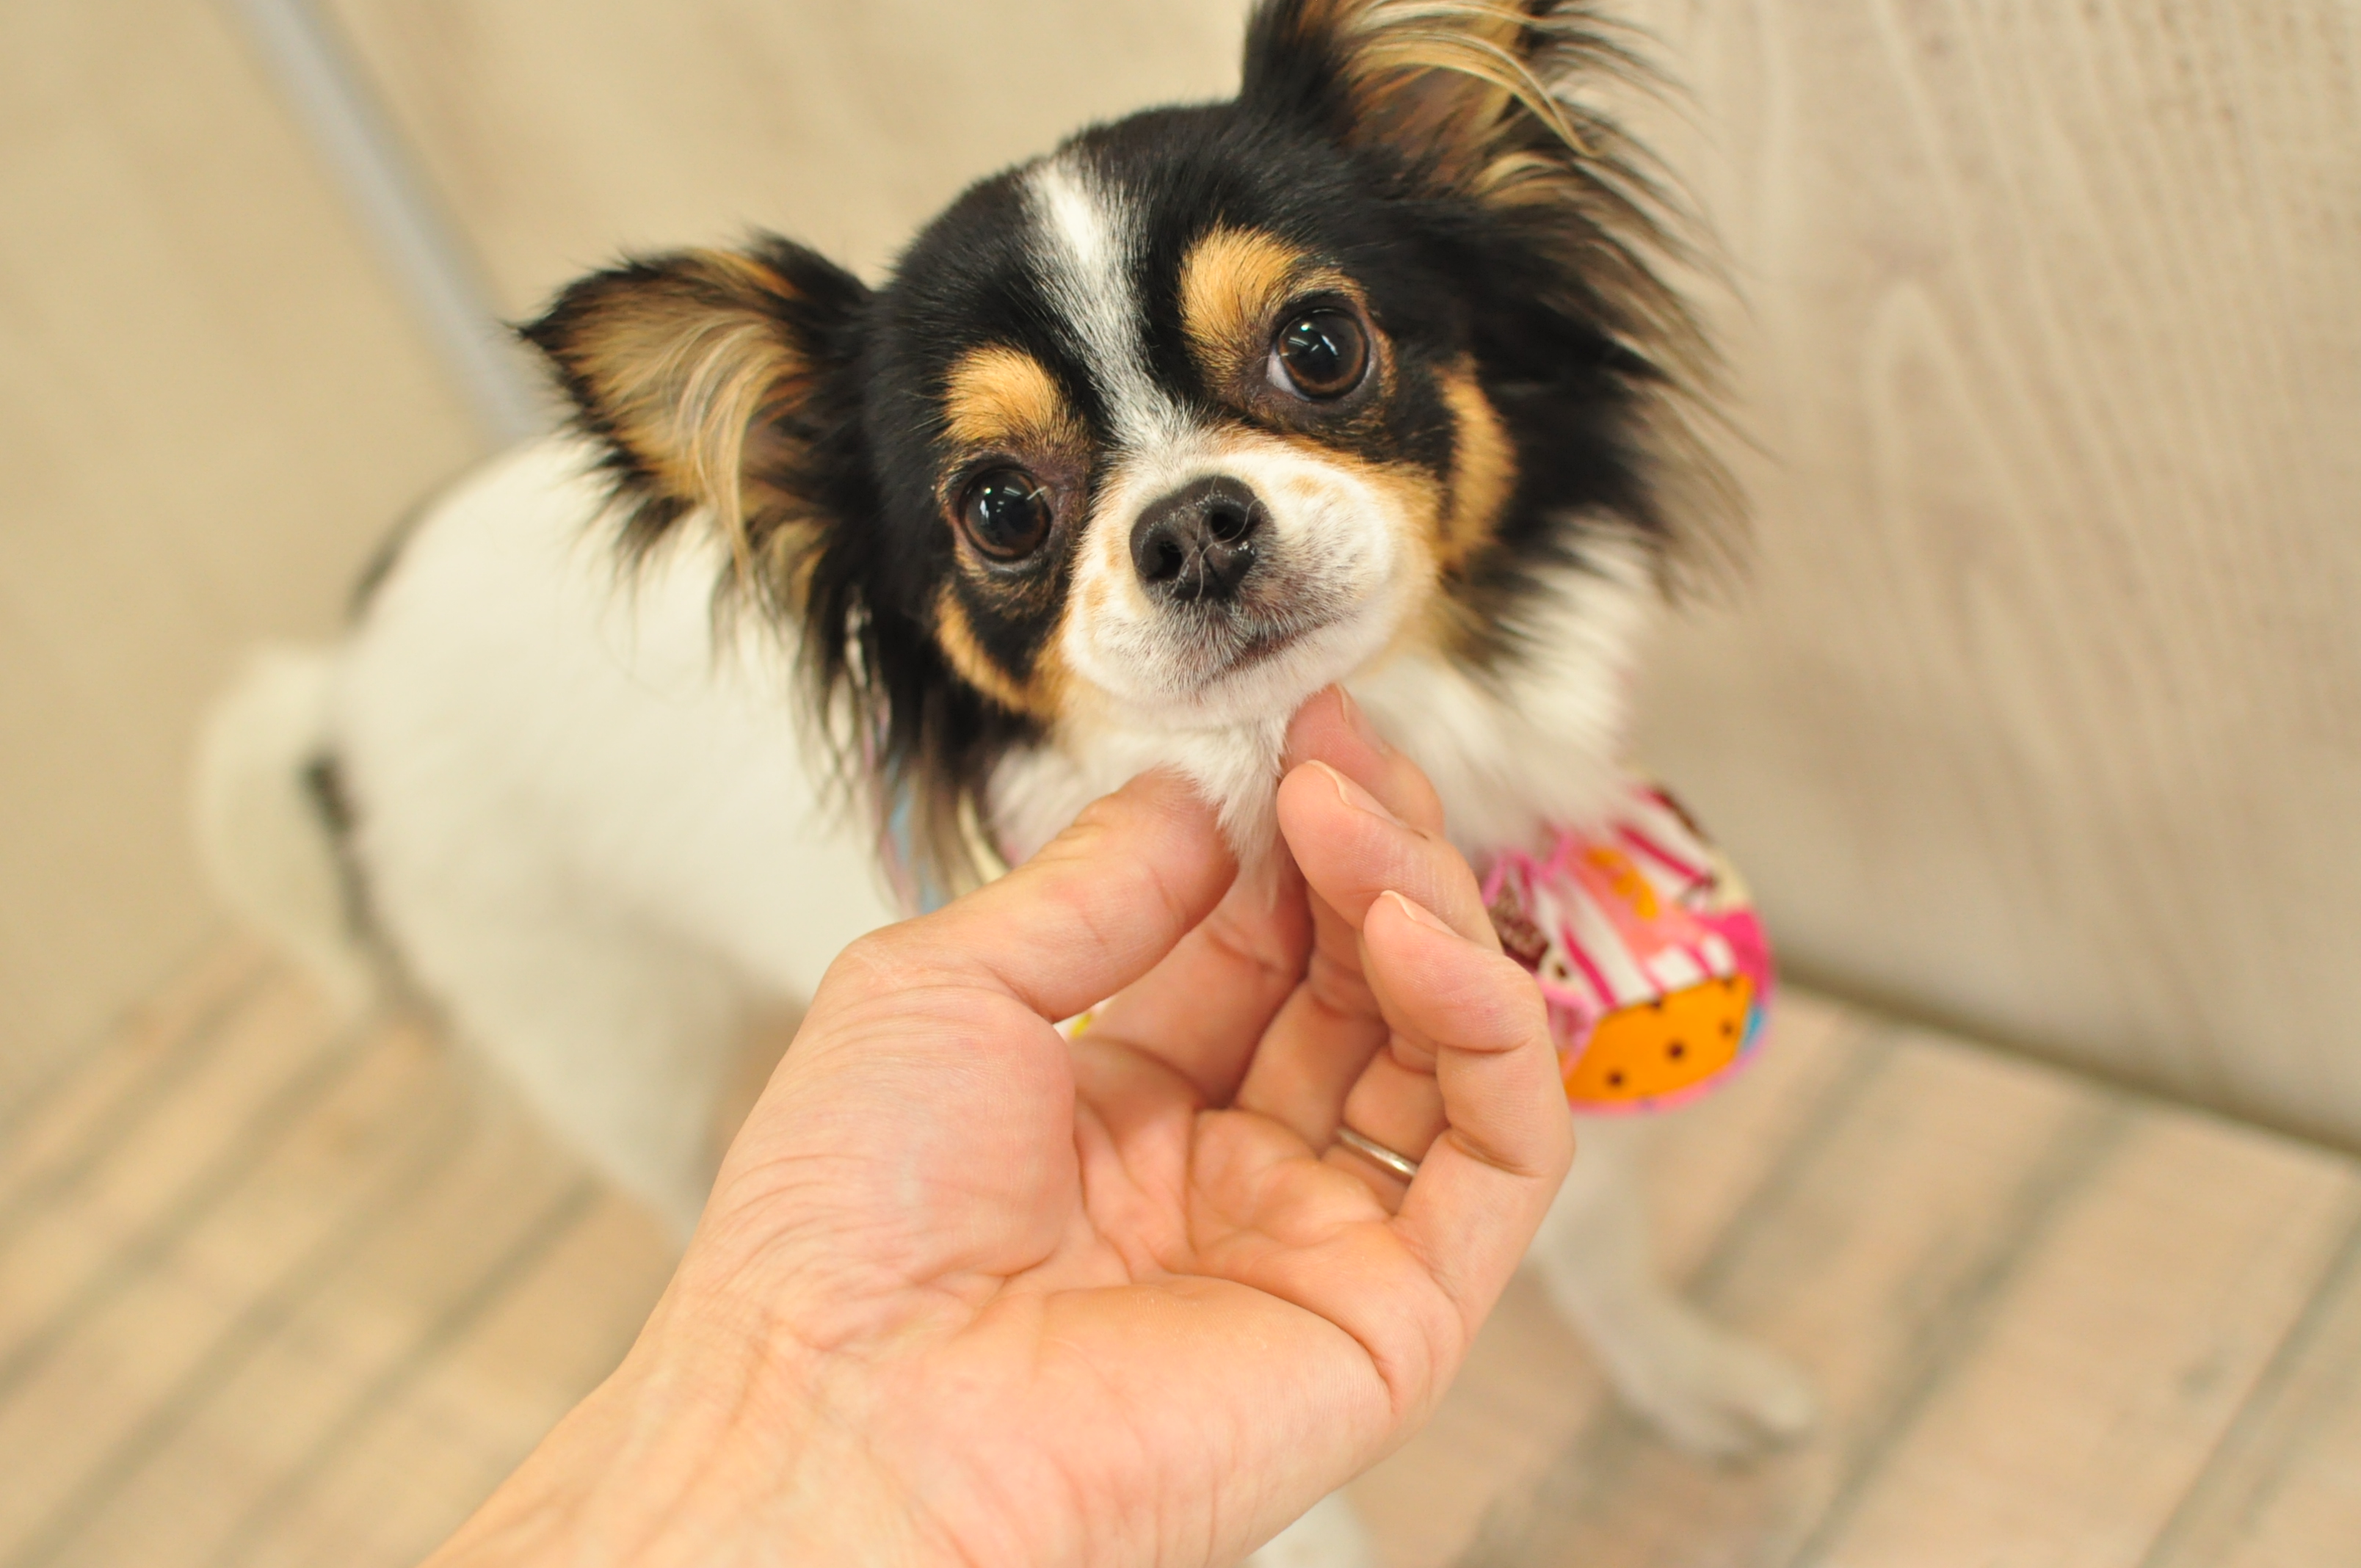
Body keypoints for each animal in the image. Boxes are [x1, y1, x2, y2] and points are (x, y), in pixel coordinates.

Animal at [197, 3, 1813, 1560]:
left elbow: (1599, 1254)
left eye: (1320, 344)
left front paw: (1690, 1381)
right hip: (600, 1032)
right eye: (999, 508)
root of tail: (345, 665)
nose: (1194, 525)